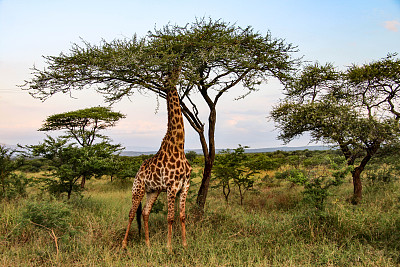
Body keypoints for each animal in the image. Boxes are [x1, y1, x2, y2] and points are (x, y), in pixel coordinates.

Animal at [121, 68, 191, 251]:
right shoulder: (172, 187)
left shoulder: (185, 186)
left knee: (145, 212)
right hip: (138, 189)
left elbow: (182, 216)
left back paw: (148, 244)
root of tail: (138, 171)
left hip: (153, 191)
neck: (179, 145)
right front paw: (169, 247)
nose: (175, 76)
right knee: (132, 213)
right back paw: (124, 244)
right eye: (170, 74)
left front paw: (185, 244)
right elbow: (170, 217)